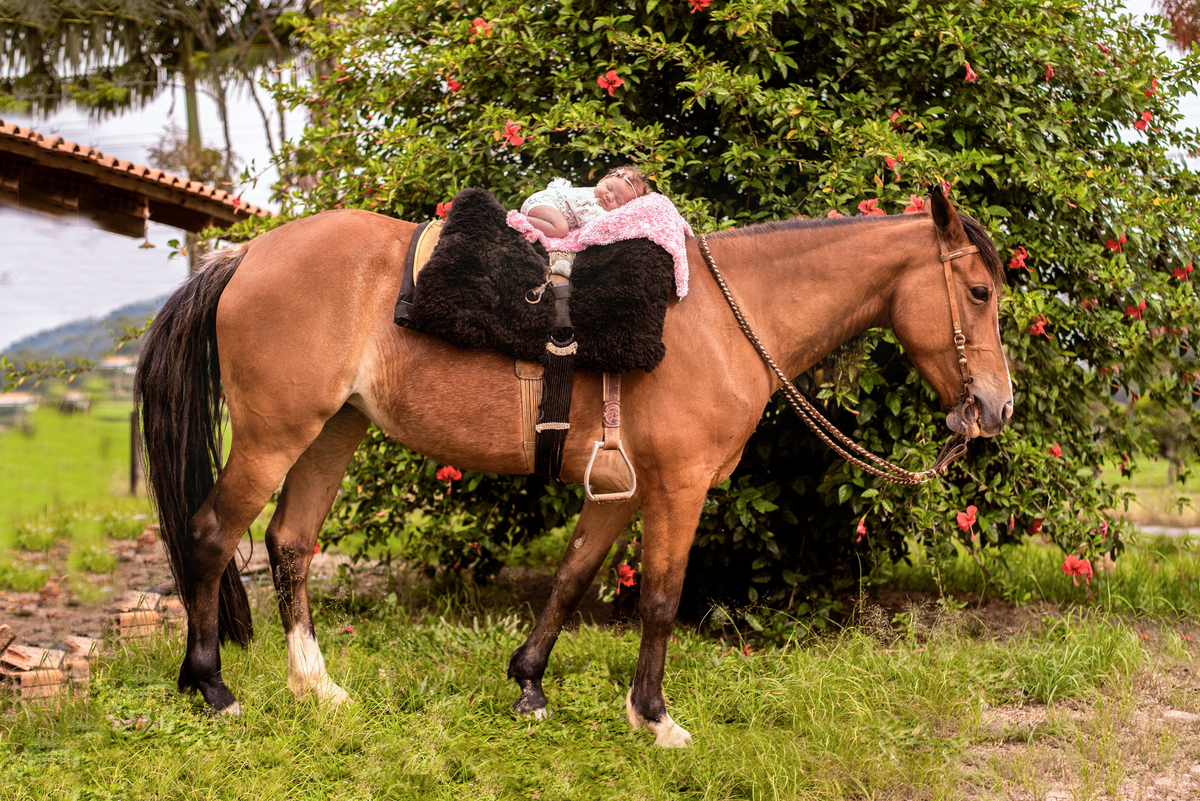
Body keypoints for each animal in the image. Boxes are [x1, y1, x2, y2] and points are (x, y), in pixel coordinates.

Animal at [135, 186, 1012, 747]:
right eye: (977, 291)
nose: (996, 408)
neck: (727, 320)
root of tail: (247, 254)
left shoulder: (622, 490)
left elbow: (570, 576)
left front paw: (529, 684)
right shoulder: (678, 487)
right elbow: (660, 599)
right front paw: (653, 716)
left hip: (331, 431)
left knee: (290, 542)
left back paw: (315, 687)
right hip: (274, 434)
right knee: (211, 535)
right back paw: (212, 686)